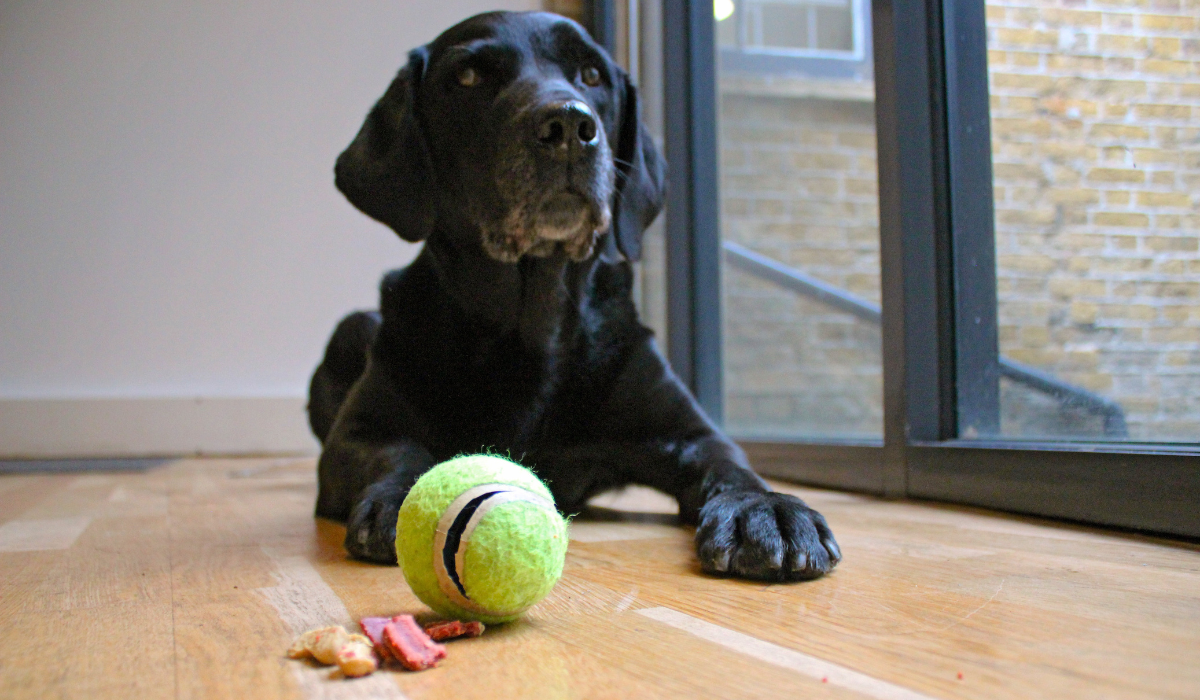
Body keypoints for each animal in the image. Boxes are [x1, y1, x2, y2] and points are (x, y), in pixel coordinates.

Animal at [304, 10, 840, 583]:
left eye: (591, 74)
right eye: (468, 76)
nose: (568, 126)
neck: (534, 327)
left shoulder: (689, 431)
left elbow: (731, 465)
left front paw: (769, 510)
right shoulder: (359, 432)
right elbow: (397, 451)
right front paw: (406, 498)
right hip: (356, 326)